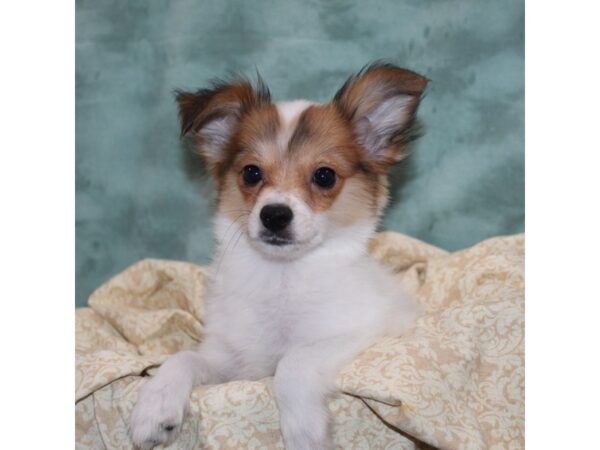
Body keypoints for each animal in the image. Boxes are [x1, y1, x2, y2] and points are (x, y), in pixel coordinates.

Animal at [132, 63, 426, 450]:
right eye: (251, 172)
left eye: (324, 175)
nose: (274, 215)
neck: (281, 278)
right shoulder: (231, 358)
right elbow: (184, 357)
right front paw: (154, 405)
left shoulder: (363, 331)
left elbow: (293, 362)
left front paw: (303, 430)